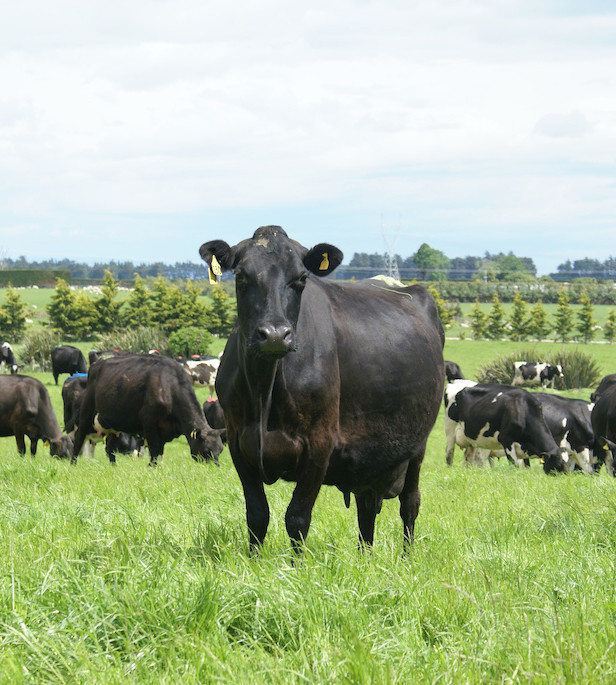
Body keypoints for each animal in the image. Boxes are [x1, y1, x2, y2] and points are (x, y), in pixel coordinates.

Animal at [72, 354, 224, 466]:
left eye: (220, 450)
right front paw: (152, 468)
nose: (215, 467)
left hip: (112, 423)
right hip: (87, 411)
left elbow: (160, 451)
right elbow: (155, 449)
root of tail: (96, 364)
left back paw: (113, 466)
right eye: (206, 450)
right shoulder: (149, 422)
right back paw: (73, 463)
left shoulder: (164, 429)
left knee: (110, 446)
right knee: (79, 437)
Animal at [199, 225, 445, 553]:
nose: (274, 335)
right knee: (367, 509)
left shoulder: (319, 443)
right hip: (370, 455)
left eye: (301, 279)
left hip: (417, 446)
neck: (265, 390)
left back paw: (406, 558)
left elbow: (297, 518)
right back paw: (365, 557)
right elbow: (257, 515)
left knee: (410, 503)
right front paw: (253, 561)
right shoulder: (239, 441)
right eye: (241, 277)